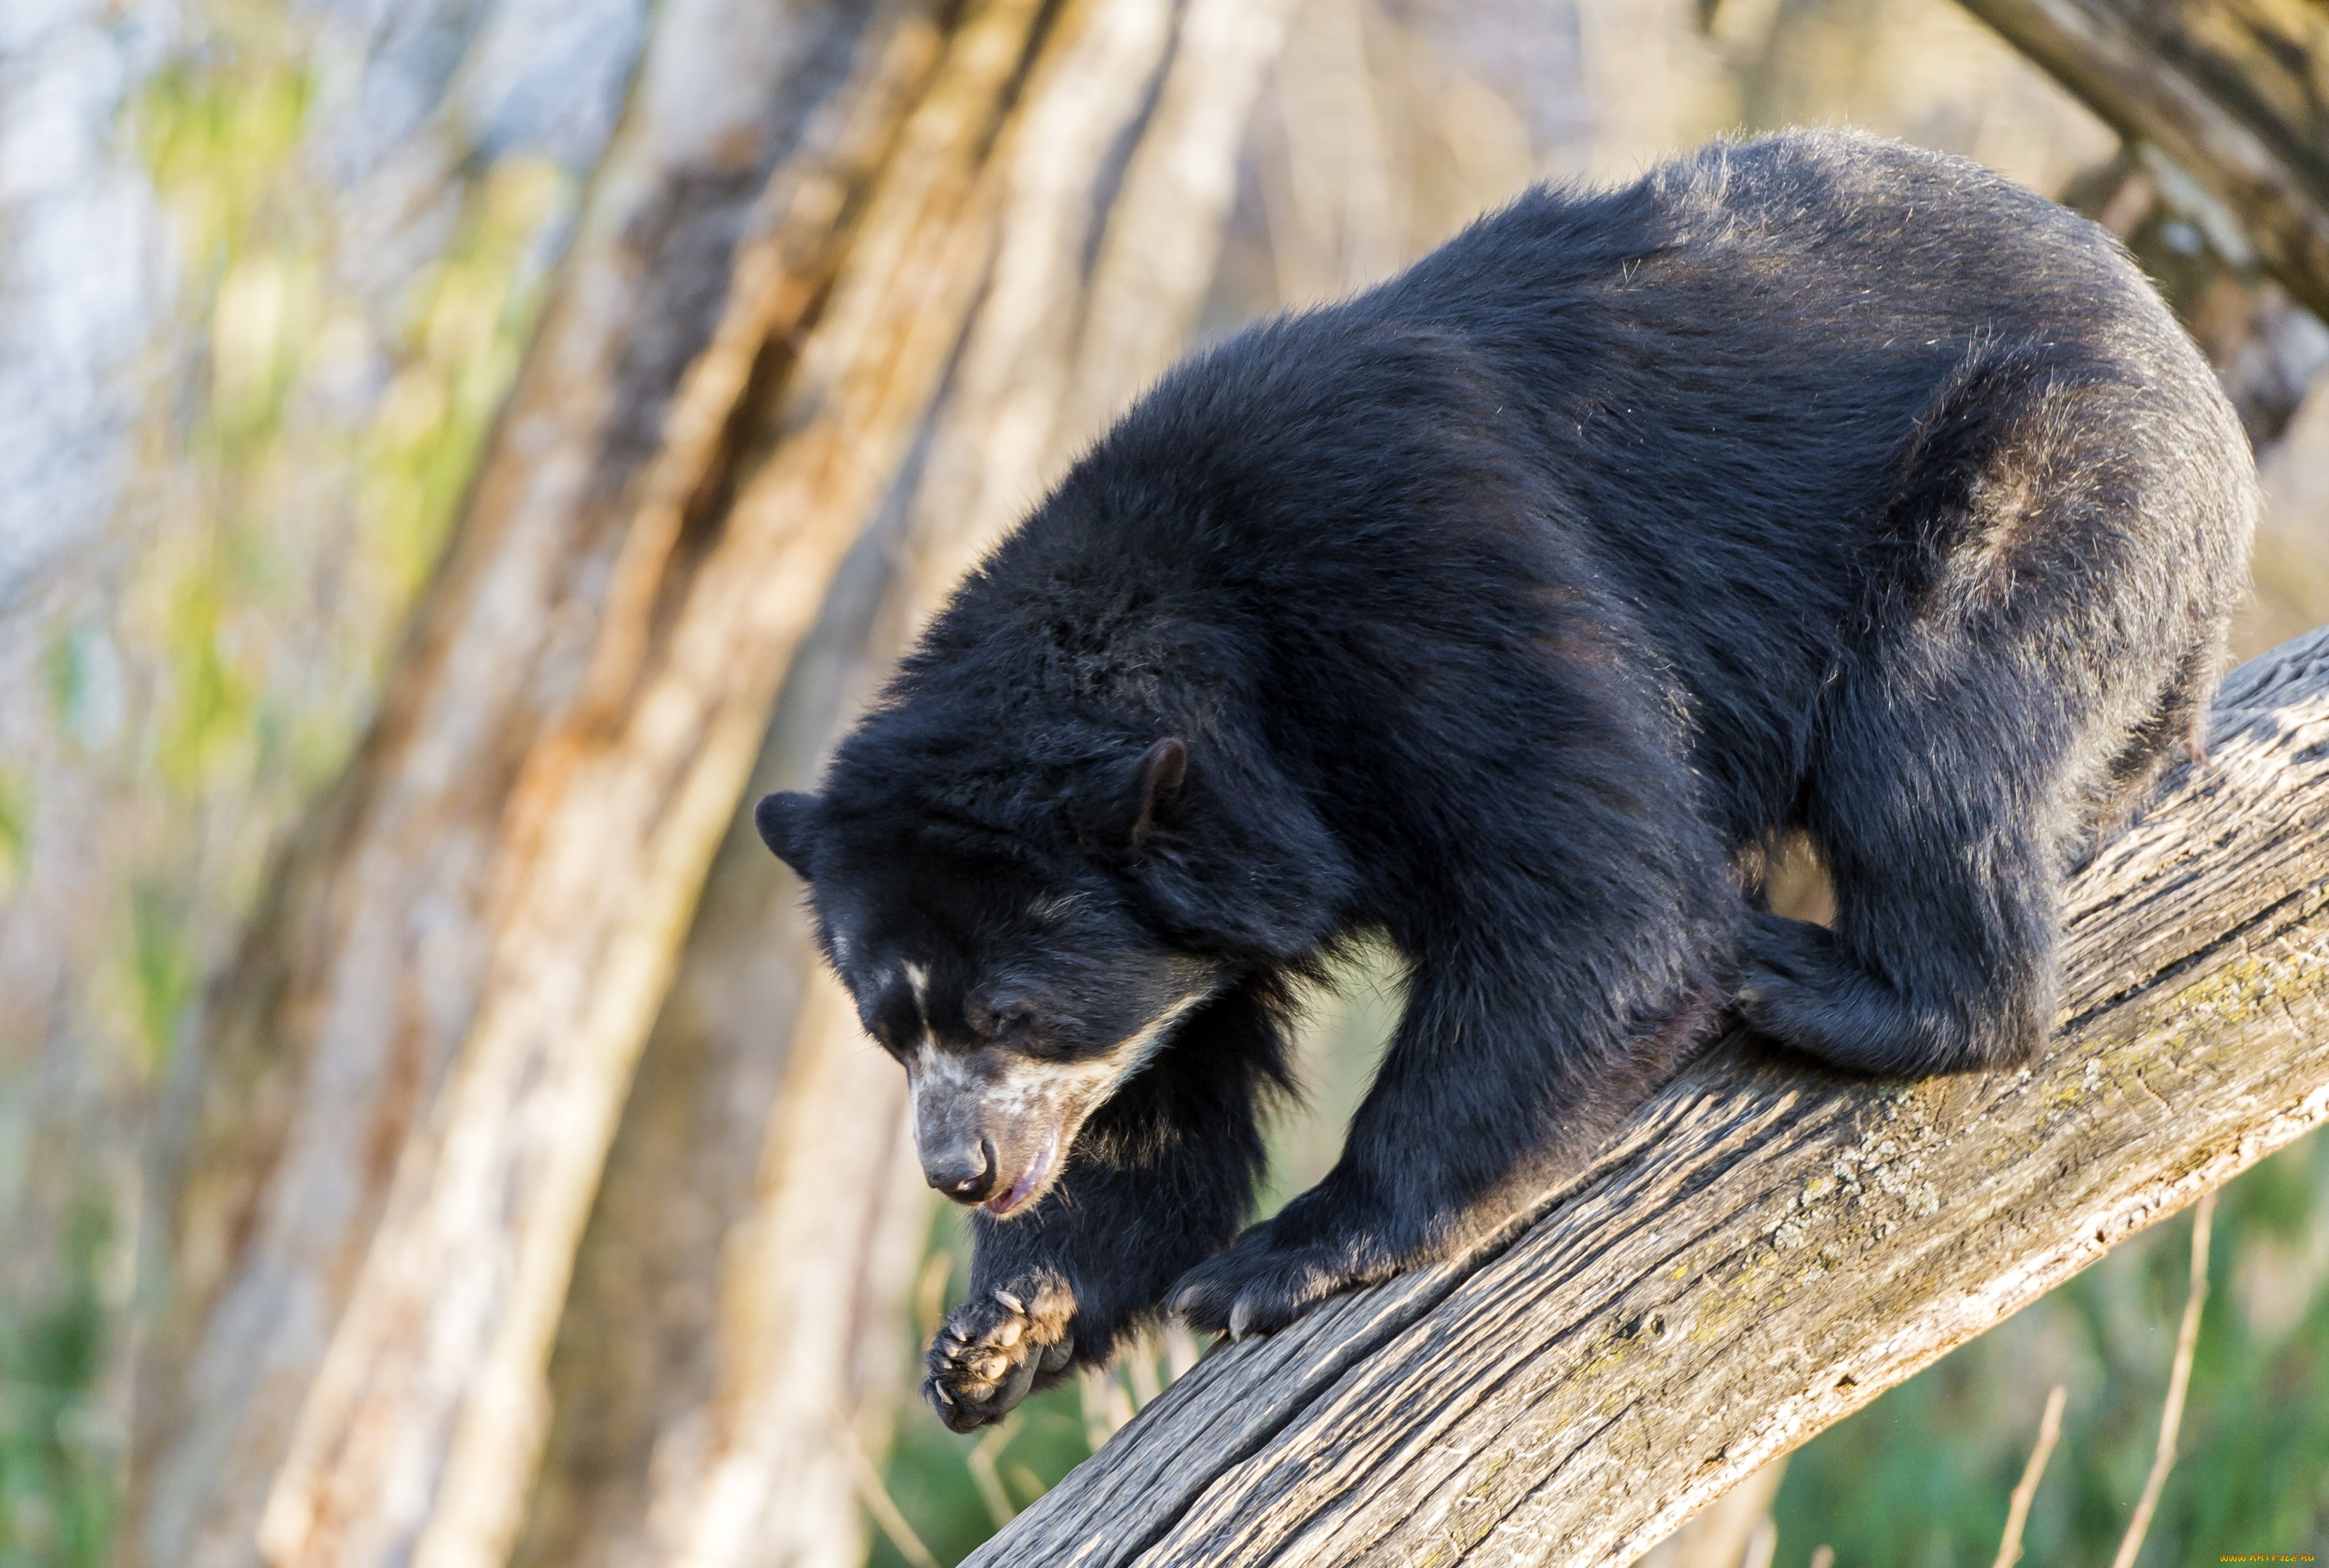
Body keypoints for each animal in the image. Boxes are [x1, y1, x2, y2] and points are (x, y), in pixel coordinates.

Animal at [759, 131, 2254, 1435]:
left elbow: (1604, 900)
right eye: (891, 1030)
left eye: (1013, 1010)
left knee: (1929, 748)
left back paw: (1814, 974)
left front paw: (1274, 1258)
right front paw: (1000, 1333)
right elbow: (1159, 1091)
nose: (962, 1173)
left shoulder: (1429, 586)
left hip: (2049, 485)